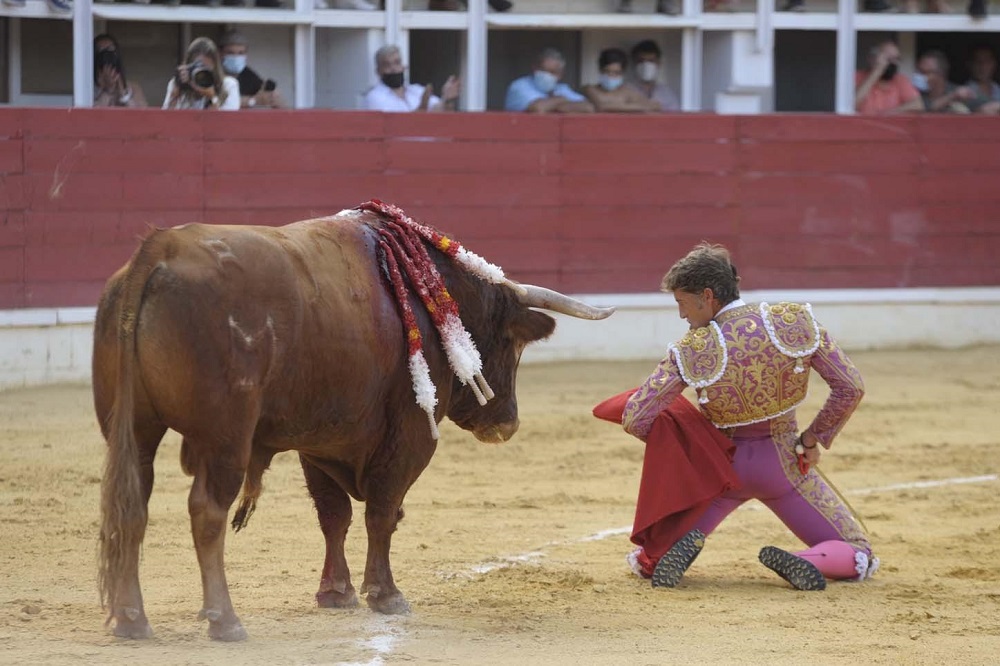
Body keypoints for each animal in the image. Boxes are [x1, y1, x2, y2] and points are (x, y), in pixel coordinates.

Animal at [92, 204, 616, 640]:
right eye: (512, 342)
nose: (507, 424)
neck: (429, 296)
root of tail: (160, 249)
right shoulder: (409, 436)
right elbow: (382, 513)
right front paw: (386, 595)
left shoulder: (318, 441)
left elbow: (334, 515)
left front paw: (336, 593)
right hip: (226, 438)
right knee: (207, 510)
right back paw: (224, 620)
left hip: (133, 430)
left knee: (132, 505)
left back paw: (132, 620)